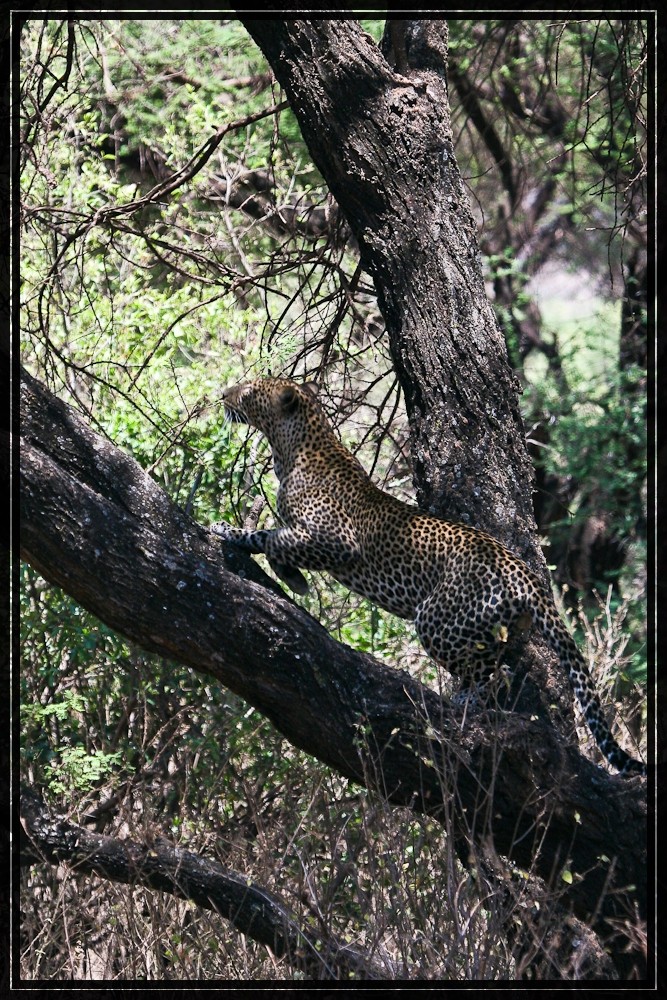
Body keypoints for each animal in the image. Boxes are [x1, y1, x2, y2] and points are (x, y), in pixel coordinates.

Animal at [215, 378, 648, 776]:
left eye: (249, 391)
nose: (223, 394)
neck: (289, 448)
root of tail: (524, 574)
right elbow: (267, 535)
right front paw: (235, 536)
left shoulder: (337, 540)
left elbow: (275, 538)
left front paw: (285, 572)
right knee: (500, 668)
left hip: (437, 620)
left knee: (495, 675)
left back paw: (464, 707)